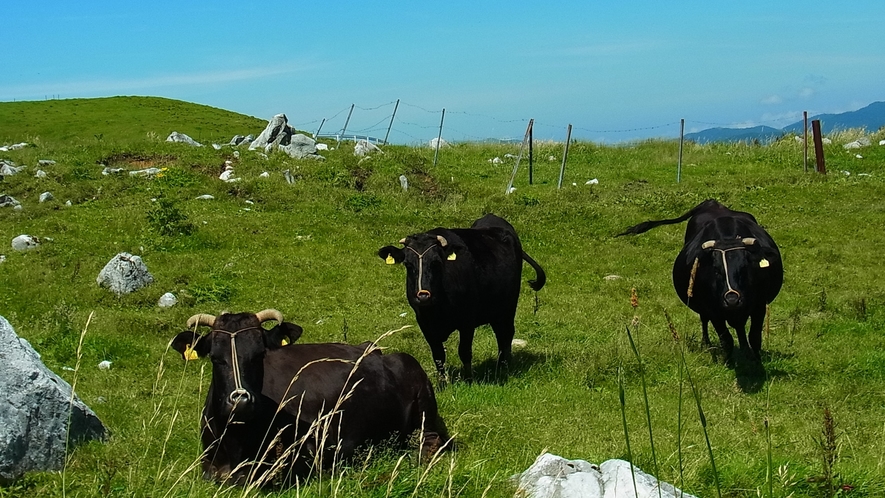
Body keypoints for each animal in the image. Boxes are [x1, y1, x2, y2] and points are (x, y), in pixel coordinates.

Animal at [171, 310, 448, 484]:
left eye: (260, 355)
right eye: (215, 358)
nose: (241, 401)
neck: (235, 441)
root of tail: (376, 350)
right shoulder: (209, 466)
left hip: (422, 401)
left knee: (431, 442)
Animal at [374, 212, 544, 384]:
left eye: (436, 263)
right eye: (408, 264)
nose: (422, 296)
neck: (438, 308)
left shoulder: (467, 320)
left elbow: (464, 351)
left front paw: (469, 379)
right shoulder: (424, 322)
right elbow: (438, 355)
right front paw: (442, 383)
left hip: (508, 306)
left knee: (506, 334)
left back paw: (504, 366)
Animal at [620, 200, 784, 364]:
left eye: (744, 268)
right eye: (716, 270)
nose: (732, 299)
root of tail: (713, 203)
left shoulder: (760, 306)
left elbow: (755, 338)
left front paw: (756, 363)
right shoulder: (713, 311)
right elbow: (727, 339)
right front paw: (727, 362)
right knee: (705, 321)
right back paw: (706, 344)